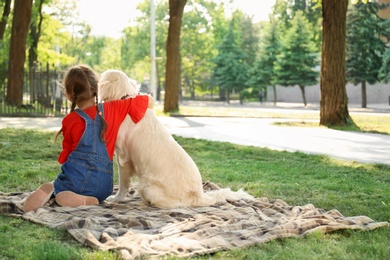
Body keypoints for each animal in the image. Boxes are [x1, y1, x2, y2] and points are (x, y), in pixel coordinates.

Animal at [99, 70, 254, 208]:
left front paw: (116, 198)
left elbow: (123, 182)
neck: (126, 101)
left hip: (148, 186)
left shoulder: (123, 156)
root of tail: (200, 196)